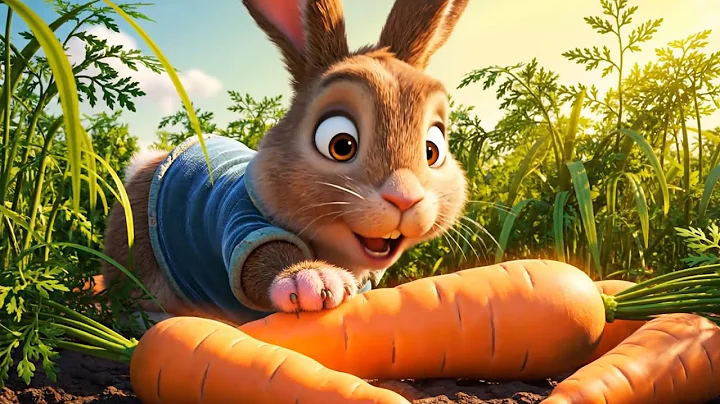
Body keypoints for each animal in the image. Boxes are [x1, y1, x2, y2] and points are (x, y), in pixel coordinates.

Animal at [102, 0, 470, 325]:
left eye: (433, 149)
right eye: (341, 144)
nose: (405, 197)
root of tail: (144, 165)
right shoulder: (242, 223)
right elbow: (263, 257)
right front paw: (314, 282)